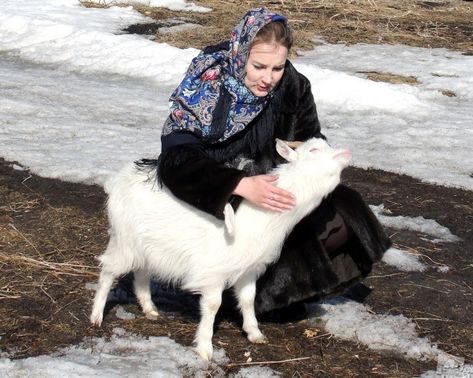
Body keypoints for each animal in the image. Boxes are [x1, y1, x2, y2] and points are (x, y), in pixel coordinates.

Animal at [91, 137, 350, 358]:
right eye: (313, 150)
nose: (346, 153)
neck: (257, 217)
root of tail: (119, 179)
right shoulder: (212, 271)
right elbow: (213, 305)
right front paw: (205, 348)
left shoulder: (248, 269)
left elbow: (248, 299)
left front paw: (255, 333)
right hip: (124, 240)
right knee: (109, 270)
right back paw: (96, 316)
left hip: (147, 246)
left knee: (142, 273)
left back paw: (150, 309)